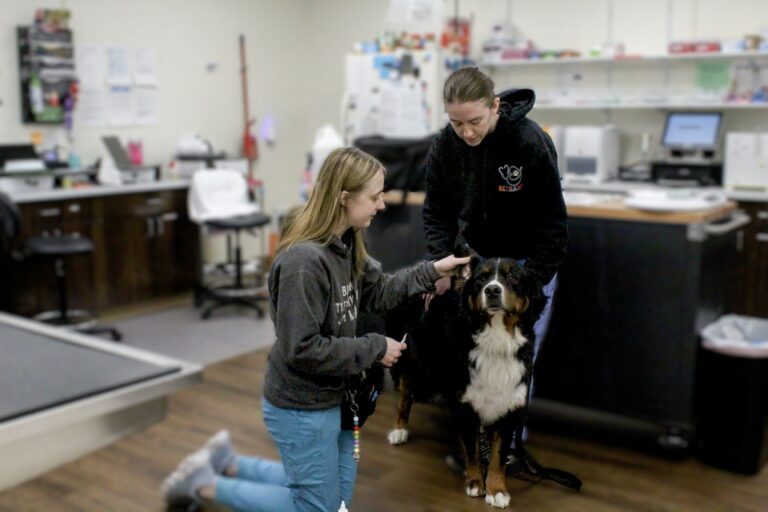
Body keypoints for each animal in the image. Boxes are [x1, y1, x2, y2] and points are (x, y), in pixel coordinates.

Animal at [390, 256, 544, 508]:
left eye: (512, 276)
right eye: (481, 278)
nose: (492, 290)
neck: (496, 339)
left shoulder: (509, 405)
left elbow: (498, 454)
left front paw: (497, 489)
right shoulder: (464, 404)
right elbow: (472, 449)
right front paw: (475, 482)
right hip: (406, 362)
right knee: (405, 397)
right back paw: (399, 430)